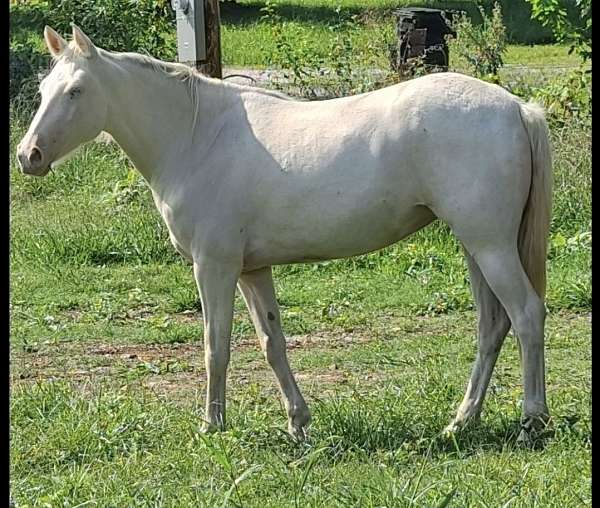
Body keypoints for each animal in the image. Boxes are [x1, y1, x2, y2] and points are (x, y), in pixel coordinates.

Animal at [17, 25, 552, 442]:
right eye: (45, 89)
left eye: (76, 90)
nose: (29, 156)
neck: (196, 135)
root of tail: (517, 107)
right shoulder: (252, 270)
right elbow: (272, 343)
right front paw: (298, 422)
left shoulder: (214, 267)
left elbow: (215, 346)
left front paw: (212, 426)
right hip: (478, 247)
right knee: (492, 326)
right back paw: (461, 422)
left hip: (490, 246)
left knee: (526, 316)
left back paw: (532, 421)